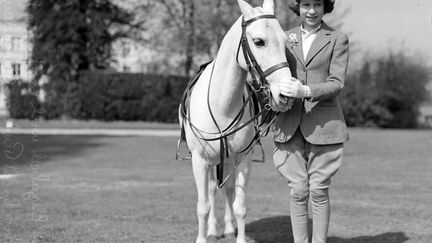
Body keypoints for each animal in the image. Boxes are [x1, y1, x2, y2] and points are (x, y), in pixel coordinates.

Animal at [177, 0, 292, 243]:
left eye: (286, 42)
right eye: (259, 41)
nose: (285, 94)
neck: (222, 105)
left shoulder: (243, 160)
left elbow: (239, 206)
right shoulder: (199, 160)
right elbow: (203, 205)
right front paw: (203, 236)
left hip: (228, 161)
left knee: (227, 189)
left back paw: (228, 228)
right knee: (212, 190)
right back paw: (212, 230)